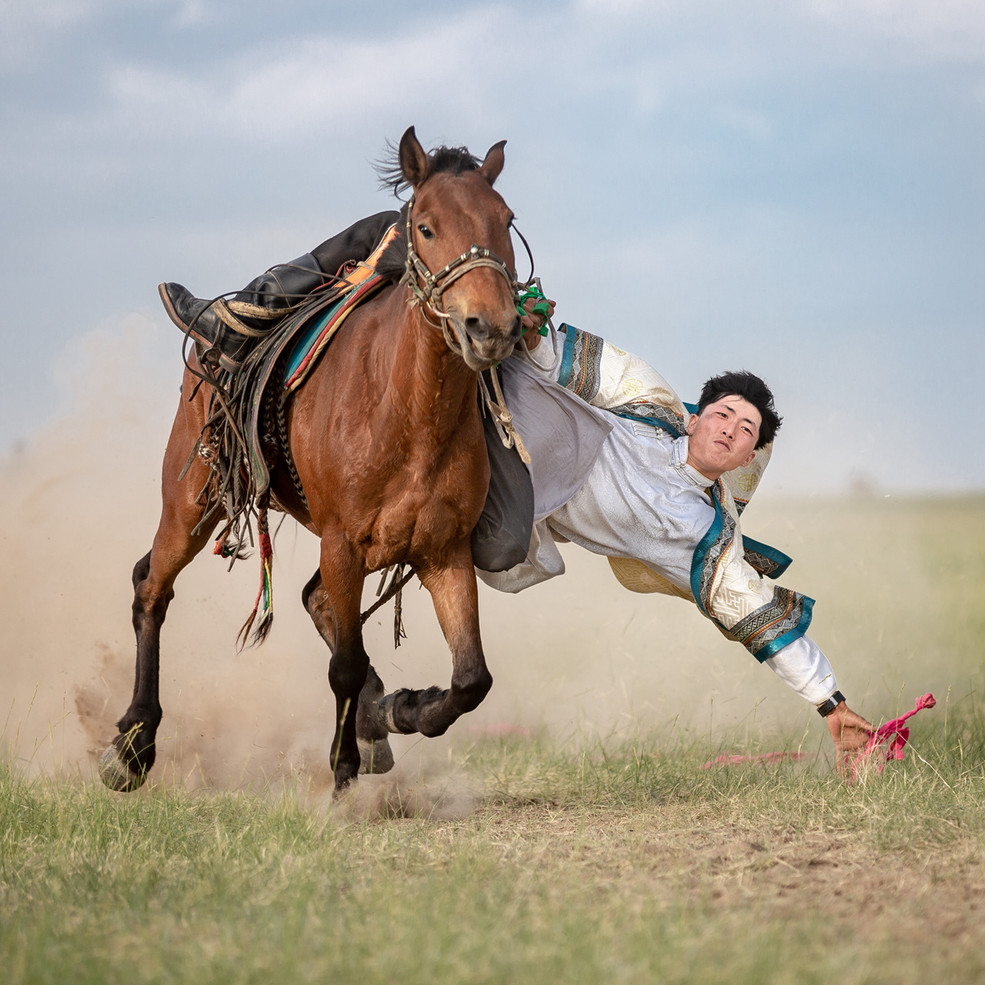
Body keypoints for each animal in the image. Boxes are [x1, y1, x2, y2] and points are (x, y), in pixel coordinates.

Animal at [101, 127, 528, 796]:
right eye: (425, 227)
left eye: (506, 220)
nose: (491, 328)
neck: (405, 410)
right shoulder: (344, 543)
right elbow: (346, 668)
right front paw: (345, 774)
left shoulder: (443, 551)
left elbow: (470, 679)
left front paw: (403, 709)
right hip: (191, 501)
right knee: (153, 586)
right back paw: (133, 745)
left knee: (314, 602)